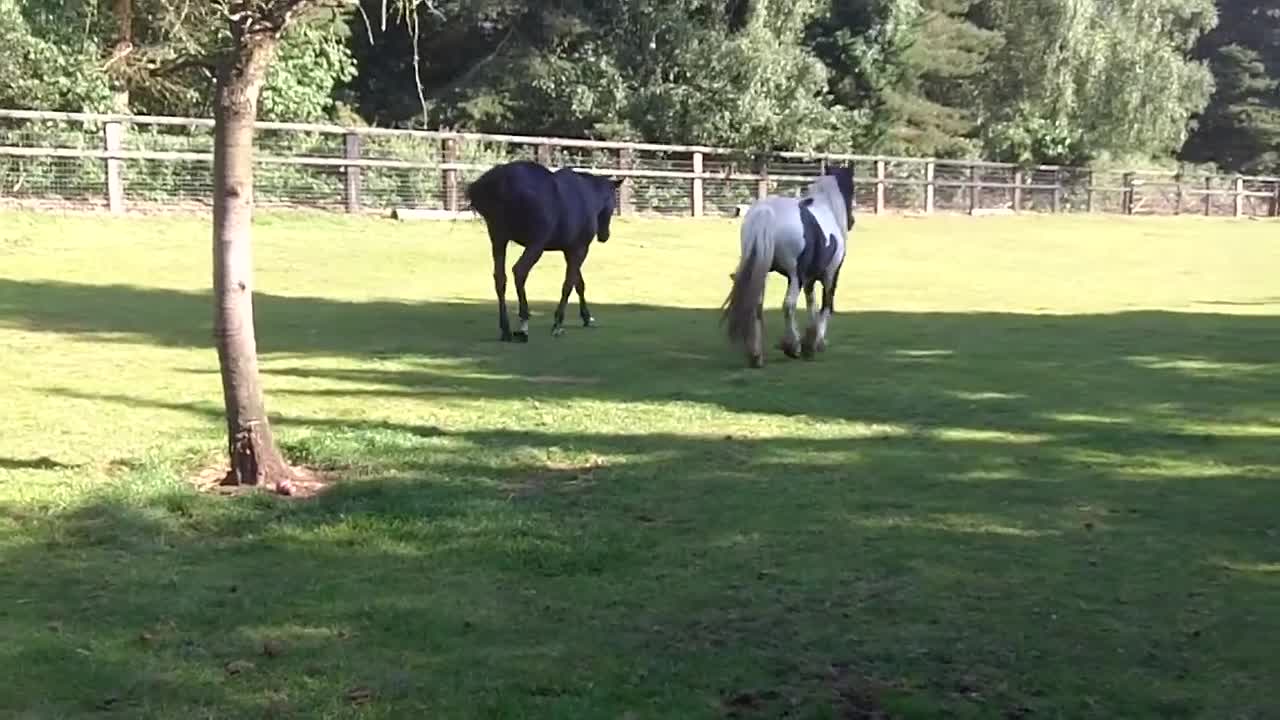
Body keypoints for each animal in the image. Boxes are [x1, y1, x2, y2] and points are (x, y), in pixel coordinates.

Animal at [465, 160, 623, 342]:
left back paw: (506, 329)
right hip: (535, 244)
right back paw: (523, 324)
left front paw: (586, 317)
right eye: (613, 202)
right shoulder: (580, 249)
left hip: (498, 240)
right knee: (519, 271)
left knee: (500, 279)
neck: (588, 196)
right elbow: (568, 285)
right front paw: (558, 323)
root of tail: (502, 182)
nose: (604, 236)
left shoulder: (569, 250)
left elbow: (578, 283)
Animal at [720, 165, 855, 368]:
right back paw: (792, 347)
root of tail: (767, 212)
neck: (827, 207)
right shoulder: (830, 276)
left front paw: (811, 340)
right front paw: (815, 343)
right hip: (794, 276)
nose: (852, 222)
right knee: (788, 305)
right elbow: (825, 306)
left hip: (761, 271)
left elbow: (811, 304)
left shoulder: (809, 279)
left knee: (757, 306)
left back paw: (756, 355)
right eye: (852, 188)